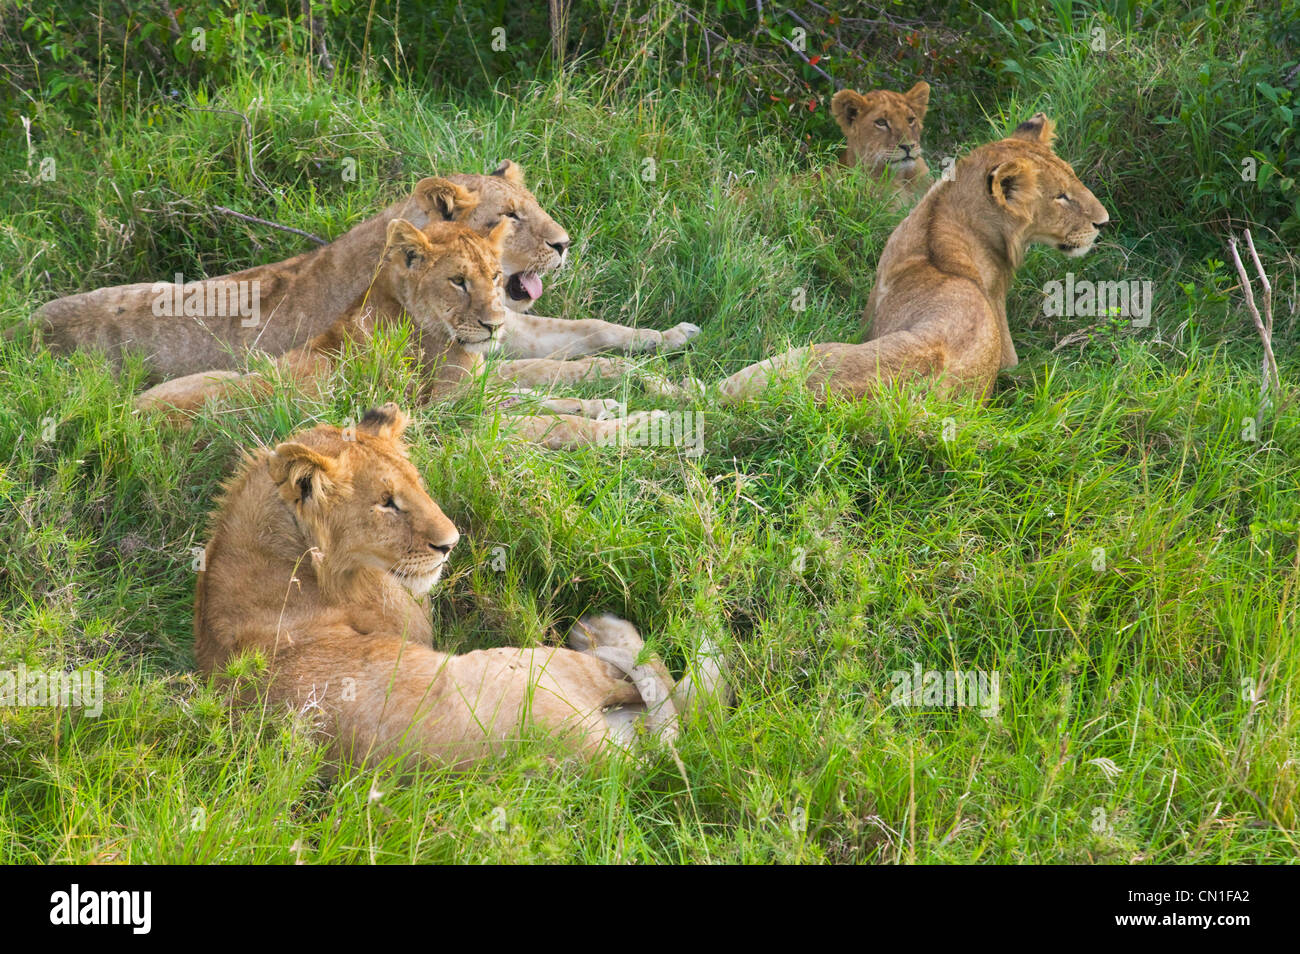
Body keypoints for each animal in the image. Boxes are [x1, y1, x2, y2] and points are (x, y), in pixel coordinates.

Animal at [30, 161, 702, 382]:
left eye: (532, 205)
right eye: (511, 215)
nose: (564, 244)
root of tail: (23, 331)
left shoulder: (506, 325)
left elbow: (591, 328)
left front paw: (671, 338)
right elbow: (570, 365)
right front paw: (646, 382)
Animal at [137, 207, 660, 449]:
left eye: (494, 275)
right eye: (457, 281)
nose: (494, 326)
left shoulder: (470, 395)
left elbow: (533, 396)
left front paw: (610, 402)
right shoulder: (453, 426)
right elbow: (554, 424)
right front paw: (647, 423)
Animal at [192, 405, 728, 769]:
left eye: (416, 484)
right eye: (386, 503)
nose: (449, 544)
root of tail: (602, 759)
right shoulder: (412, 624)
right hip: (533, 666)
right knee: (670, 688)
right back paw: (603, 628)